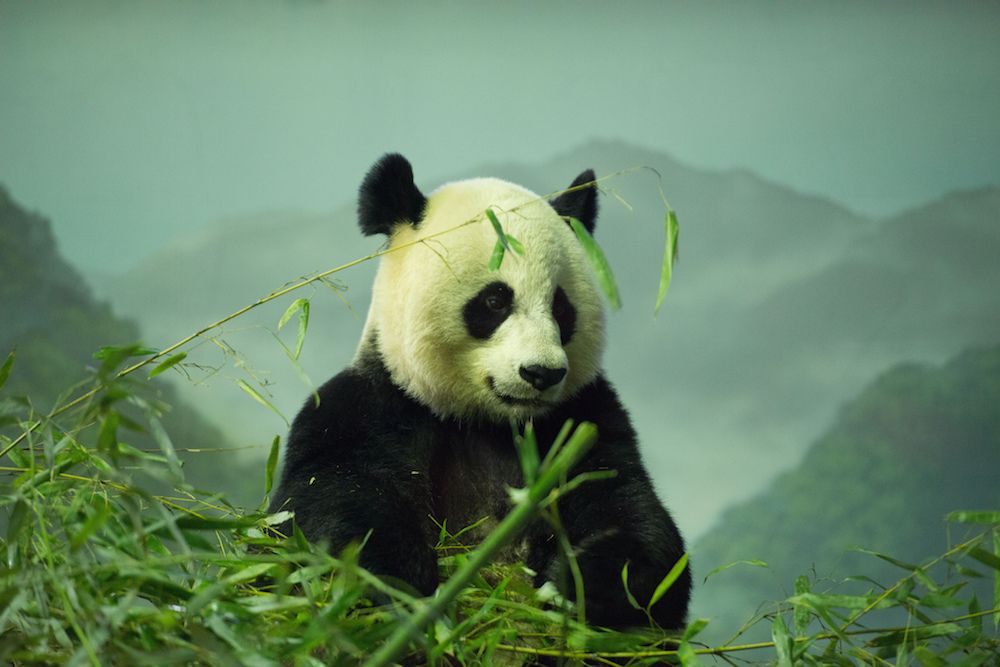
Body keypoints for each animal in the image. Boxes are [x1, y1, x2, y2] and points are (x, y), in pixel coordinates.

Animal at [270, 154, 692, 628]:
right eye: (495, 301)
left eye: (561, 307)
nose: (541, 373)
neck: (489, 422)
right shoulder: (369, 408)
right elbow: (328, 503)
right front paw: (398, 584)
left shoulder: (583, 417)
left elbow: (629, 511)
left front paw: (581, 583)